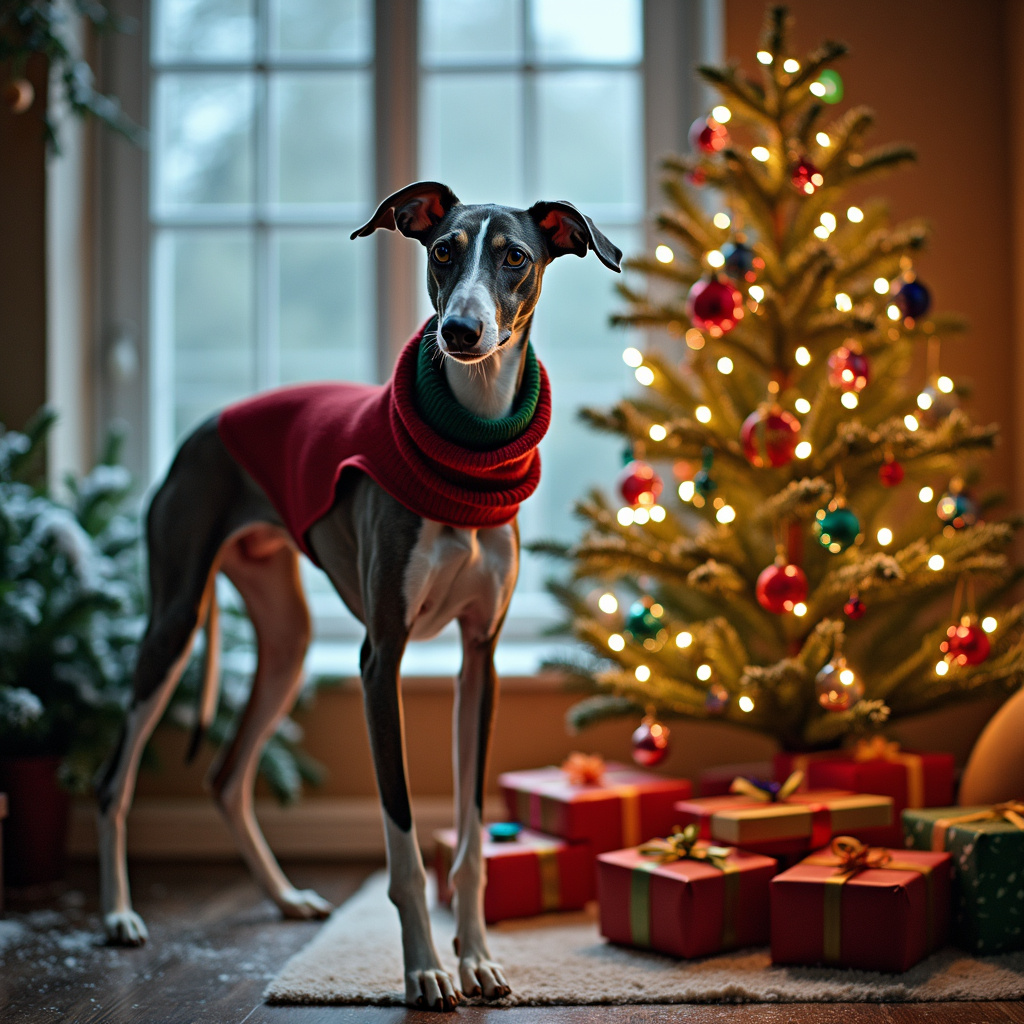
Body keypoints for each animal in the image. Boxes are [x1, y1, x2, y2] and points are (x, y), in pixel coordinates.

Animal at [97, 182, 622, 1007]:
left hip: (287, 643)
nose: (461, 331)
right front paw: (425, 971)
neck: (469, 453)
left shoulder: (480, 661)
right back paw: (120, 914)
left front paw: (477, 959)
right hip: (175, 622)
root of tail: (206, 428)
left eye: (515, 257)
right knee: (113, 780)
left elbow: (471, 839)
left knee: (226, 775)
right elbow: (402, 843)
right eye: (442, 251)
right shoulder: (384, 658)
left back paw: (285, 897)